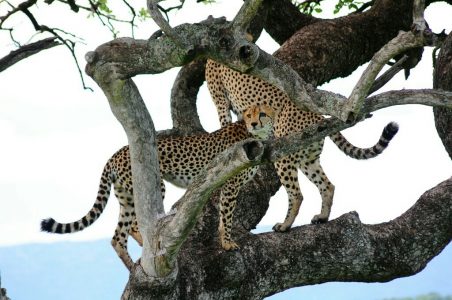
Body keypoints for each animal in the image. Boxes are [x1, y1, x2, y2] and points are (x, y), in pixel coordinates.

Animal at [41, 103, 276, 270]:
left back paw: (132, 266)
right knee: (137, 224)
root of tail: (117, 152)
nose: (254, 123)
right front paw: (227, 243)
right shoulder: (230, 185)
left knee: (118, 236)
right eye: (249, 115)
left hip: (126, 196)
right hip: (150, 187)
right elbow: (226, 217)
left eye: (262, 114)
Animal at [206, 59, 400, 232]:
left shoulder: (221, 99)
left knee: (297, 194)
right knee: (327, 185)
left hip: (285, 156)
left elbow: (226, 124)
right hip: (308, 159)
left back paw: (285, 225)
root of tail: (318, 116)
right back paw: (322, 217)